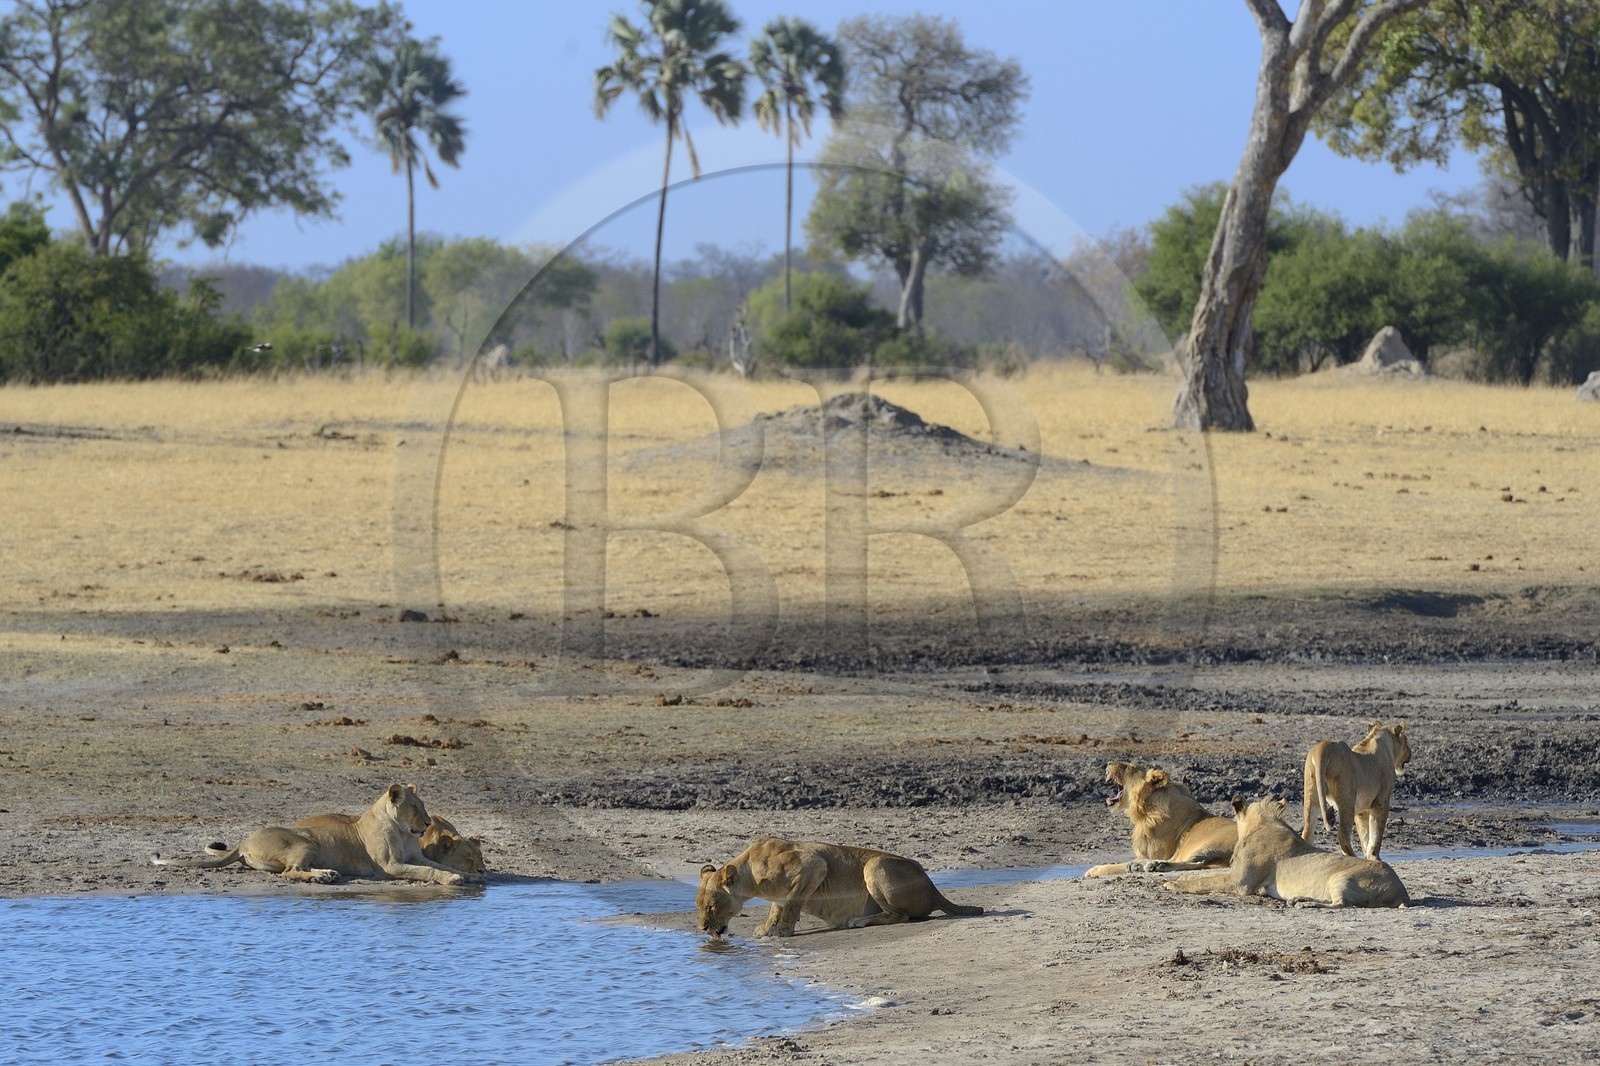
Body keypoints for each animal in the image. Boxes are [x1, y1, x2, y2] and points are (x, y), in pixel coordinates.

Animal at [149, 783, 470, 885]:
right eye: (415, 807)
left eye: (424, 806)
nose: (426, 823)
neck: (404, 832)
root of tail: (243, 840)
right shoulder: (390, 865)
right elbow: (427, 872)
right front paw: (453, 879)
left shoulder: (416, 857)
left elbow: (434, 865)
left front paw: (464, 874)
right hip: (305, 842)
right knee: (289, 872)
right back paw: (322, 878)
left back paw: (326, 874)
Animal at [696, 836, 983, 938]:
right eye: (698, 906)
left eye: (712, 906)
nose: (702, 928)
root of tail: (934, 888)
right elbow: (777, 907)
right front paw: (767, 927)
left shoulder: (813, 865)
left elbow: (791, 904)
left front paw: (783, 931)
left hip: (875, 865)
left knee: (901, 915)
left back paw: (858, 921)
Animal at [1084, 761, 1237, 877]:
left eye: (1130, 767)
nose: (1109, 763)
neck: (1146, 808)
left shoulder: (1159, 852)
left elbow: (1116, 866)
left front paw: (1093, 870)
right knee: (1201, 864)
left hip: (1210, 845)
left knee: (1195, 862)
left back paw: (1154, 865)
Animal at [1165, 796, 1409, 907]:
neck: (1258, 826)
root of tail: (1402, 892)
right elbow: (1206, 876)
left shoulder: (1239, 882)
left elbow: (1203, 881)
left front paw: (1173, 884)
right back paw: (1299, 898)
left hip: (1342, 878)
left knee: (1341, 904)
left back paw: (1304, 903)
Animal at [1301, 720, 1411, 860]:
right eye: (1406, 740)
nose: (1410, 753)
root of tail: (1323, 748)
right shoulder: (1381, 802)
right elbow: (1376, 834)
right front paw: (1375, 857)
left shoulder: (1362, 810)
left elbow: (1365, 835)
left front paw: (1368, 856)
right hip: (1347, 799)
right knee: (1342, 834)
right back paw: (1352, 857)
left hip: (1311, 794)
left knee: (1307, 832)